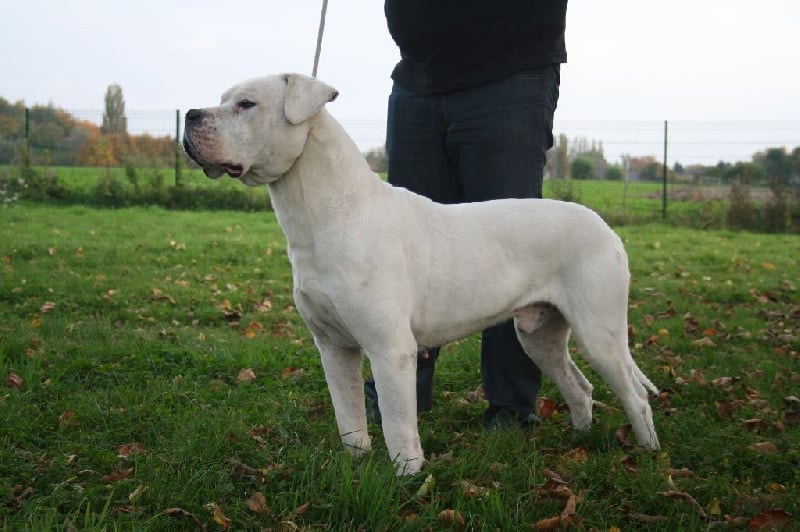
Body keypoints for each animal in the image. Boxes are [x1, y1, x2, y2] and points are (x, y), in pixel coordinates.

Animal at [184, 71, 660, 474]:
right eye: (222, 99)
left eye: (246, 104)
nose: (190, 114)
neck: (329, 217)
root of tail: (605, 227)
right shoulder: (334, 347)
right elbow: (349, 416)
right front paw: (355, 466)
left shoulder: (390, 348)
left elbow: (397, 422)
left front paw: (408, 480)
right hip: (539, 334)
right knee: (579, 387)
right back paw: (581, 440)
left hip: (599, 333)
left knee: (635, 396)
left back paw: (648, 455)